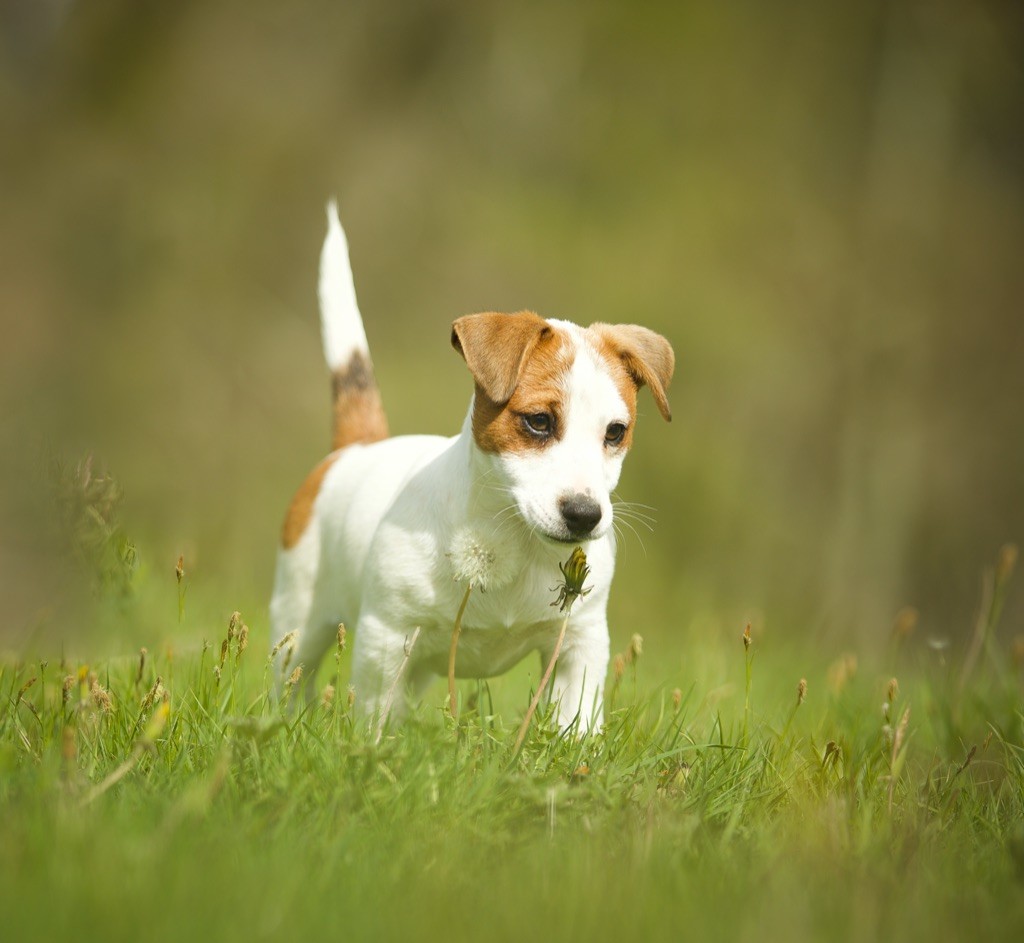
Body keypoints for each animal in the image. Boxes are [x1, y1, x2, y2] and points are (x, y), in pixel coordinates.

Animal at [268, 205, 675, 733]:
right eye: (539, 421)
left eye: (615, 432)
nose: (585, 515)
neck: (509, 540)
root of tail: (357, 446)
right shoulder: (385, 640)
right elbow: (377, 718)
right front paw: (376, 748)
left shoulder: (580, 643)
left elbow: (578, 718)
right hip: (299, 620)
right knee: (291, 680)